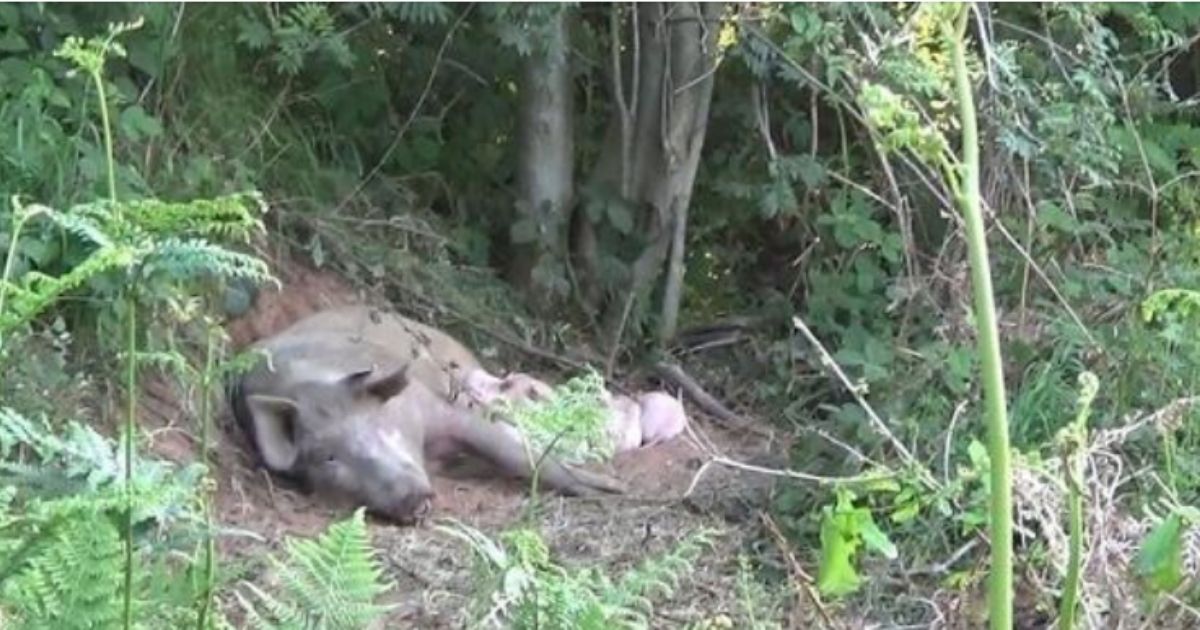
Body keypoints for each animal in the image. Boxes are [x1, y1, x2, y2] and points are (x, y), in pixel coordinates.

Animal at [229, 306, 625, 524]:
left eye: (379, 424)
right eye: (328, 457)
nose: (409, 495)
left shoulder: (435, 409)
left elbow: (512, 452)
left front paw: (610, 489)